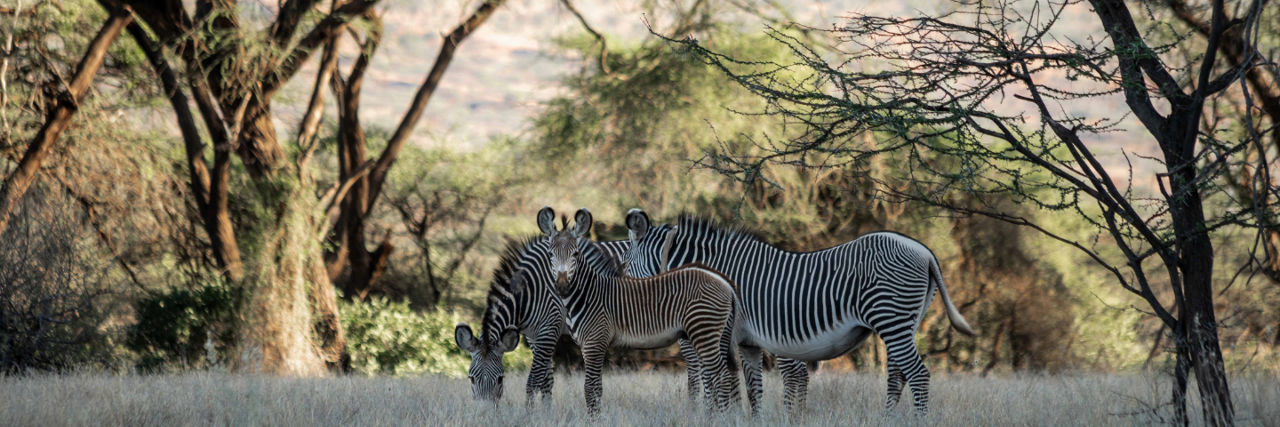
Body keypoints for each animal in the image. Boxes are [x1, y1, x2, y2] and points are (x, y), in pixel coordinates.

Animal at [453, 209, 708, 404]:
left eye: (500, 378)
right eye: (471, 378)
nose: (486, 415)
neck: (529, 289)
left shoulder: (549, 329)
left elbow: (534, 379)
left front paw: (530, 414)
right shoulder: (534, 336)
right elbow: (547, 379)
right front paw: (546, 414)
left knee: (695, 364)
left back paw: (695, 406)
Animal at [543, 208, 741, 415]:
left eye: (575, 254)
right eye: (550, 254)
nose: (562, 286)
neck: (589, 293)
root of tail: (724, 282)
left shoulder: (595, 342)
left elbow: (591, 388)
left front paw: (593, 418)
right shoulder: (588, 344)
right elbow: (595, 388)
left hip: (704, 332)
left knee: (721, 376)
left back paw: (720, 417)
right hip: (717, 334)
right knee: (725, 375)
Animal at [620, 209, 976, 413]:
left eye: (624, 266)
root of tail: (923, 251)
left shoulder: (729, 337)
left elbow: (725, 384)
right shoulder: (748, 342)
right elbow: (753, 390)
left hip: (892, 319)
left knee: (918, 376)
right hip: (905, 323)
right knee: (898, 377)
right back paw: (887, 420)